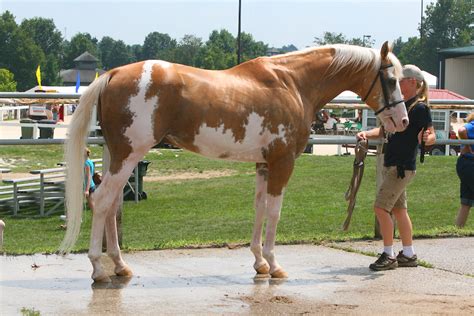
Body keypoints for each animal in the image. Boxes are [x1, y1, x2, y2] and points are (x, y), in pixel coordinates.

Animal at [60, 41, 408, 282]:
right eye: (391, 80)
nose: (403, 121)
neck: (293, 84)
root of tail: (113, 73)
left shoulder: (263, 165)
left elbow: (259, 209)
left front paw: (260, 263)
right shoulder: (282, 164)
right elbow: (274, 211)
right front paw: (275, 265)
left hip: (122, 158)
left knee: (110, 204)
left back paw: (120, 266)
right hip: (129, 154)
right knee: (101, 201)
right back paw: (99, 269)